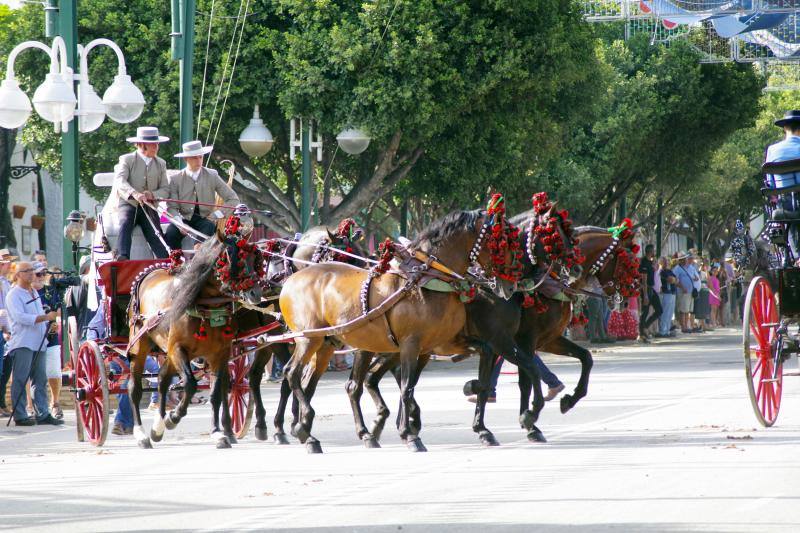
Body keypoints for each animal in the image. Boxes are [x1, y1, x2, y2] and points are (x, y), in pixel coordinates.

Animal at [126, 214, 268, 446]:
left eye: (254, 258)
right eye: (232, 259)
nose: (255, 293)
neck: (204, 306)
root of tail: (149, 273)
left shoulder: (220, 354)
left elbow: (216, 393)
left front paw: (218, 432)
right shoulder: (178, 349)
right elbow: (191, 384)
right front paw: (174, 417)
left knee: (163, 379)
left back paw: (157, 427)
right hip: (140, 345)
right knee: (135, 388)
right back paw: (141, 433)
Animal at [276, 197, 520, 450]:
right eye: (501, 242)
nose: (510, 285)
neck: (427, 280)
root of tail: (292, 280)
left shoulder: (437, 345)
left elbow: (481, 357)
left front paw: (476, 401)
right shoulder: (411, 345)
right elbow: (406, 387)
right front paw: (409, 434)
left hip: (327, 344)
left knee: (316, 383)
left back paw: (314, 430)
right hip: (309, 339)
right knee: (292, 374)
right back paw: (304, 430)